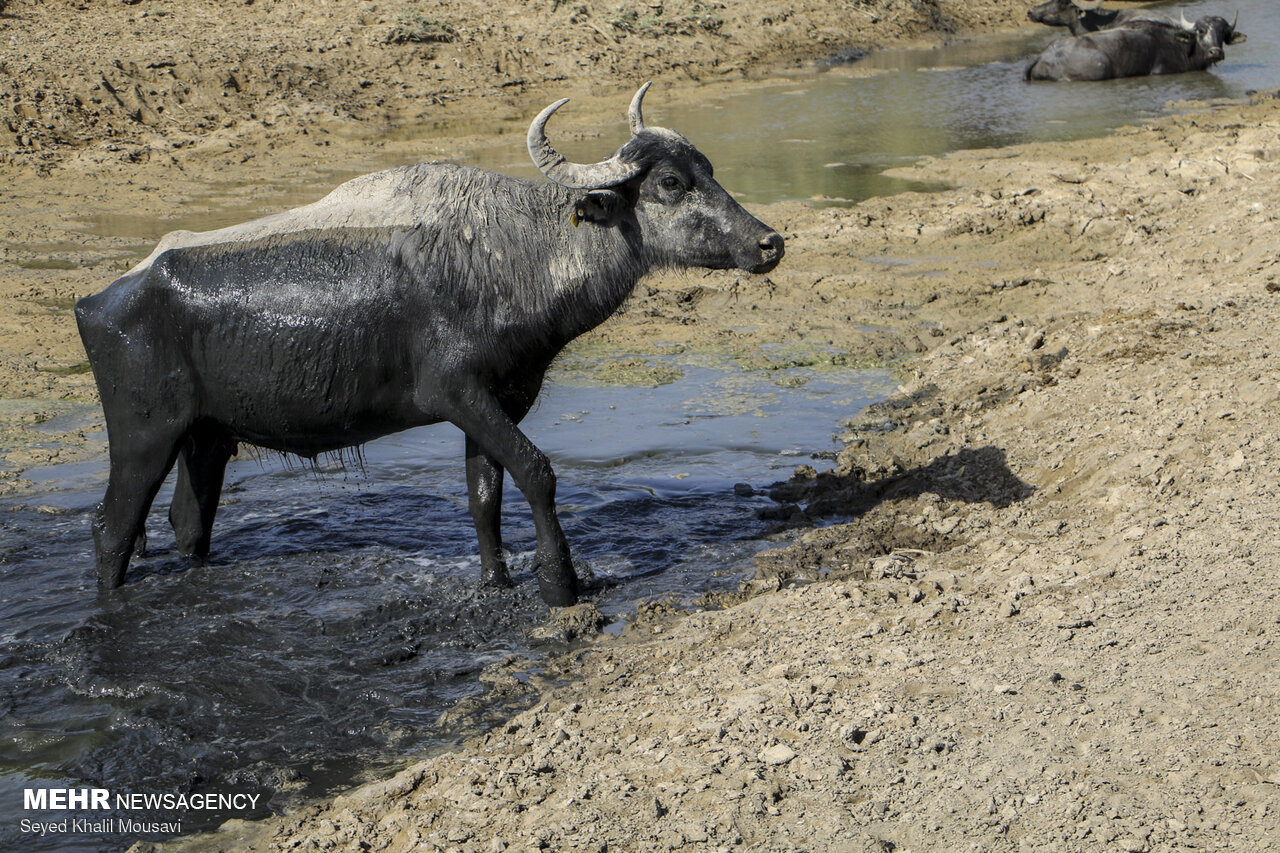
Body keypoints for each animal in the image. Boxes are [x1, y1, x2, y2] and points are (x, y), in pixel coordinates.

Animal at [77, 83, 788, 604]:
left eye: (708, 170)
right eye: (670, 183)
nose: (769, 242)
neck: (507, 257)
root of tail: (103, 297)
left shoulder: (499, 403)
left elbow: (484, 497)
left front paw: (498, 583)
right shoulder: (458, 393)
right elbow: (538, 472)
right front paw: (560, 583)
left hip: (204, 438)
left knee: (187, 523)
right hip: (144, 436)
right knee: (112, 527)